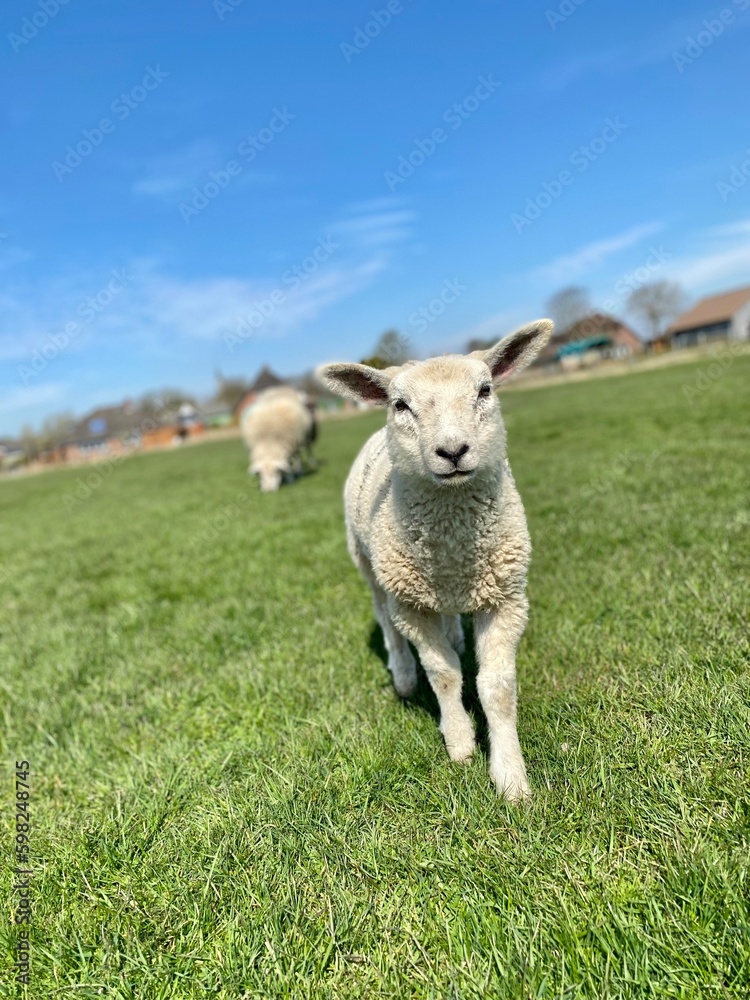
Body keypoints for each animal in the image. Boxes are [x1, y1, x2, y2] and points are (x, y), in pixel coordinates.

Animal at [318, 320, 553, 800]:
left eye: (485, 390)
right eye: (400, 405)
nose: (453, 451)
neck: (452, 549)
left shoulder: (506, 598)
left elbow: (497, 688)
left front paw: (510, 777)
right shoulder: (411, 606)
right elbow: (443, 674)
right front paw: (460, 741)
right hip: (370, 565)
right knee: (384, 618)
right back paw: (404, 675)